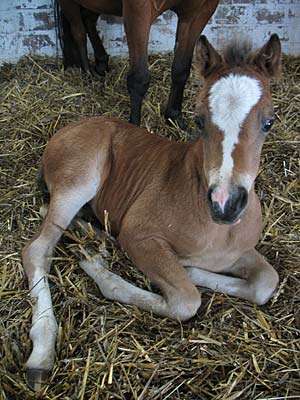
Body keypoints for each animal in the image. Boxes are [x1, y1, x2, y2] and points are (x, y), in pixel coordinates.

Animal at [57, 0, 219, 128]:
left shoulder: (199, 11)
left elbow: (181, 69)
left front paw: (173, 116)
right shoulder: (138, 9)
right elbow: (139, 79)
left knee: (87, 20)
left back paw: (100, 64)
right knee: (78, 31)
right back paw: (87, 72)